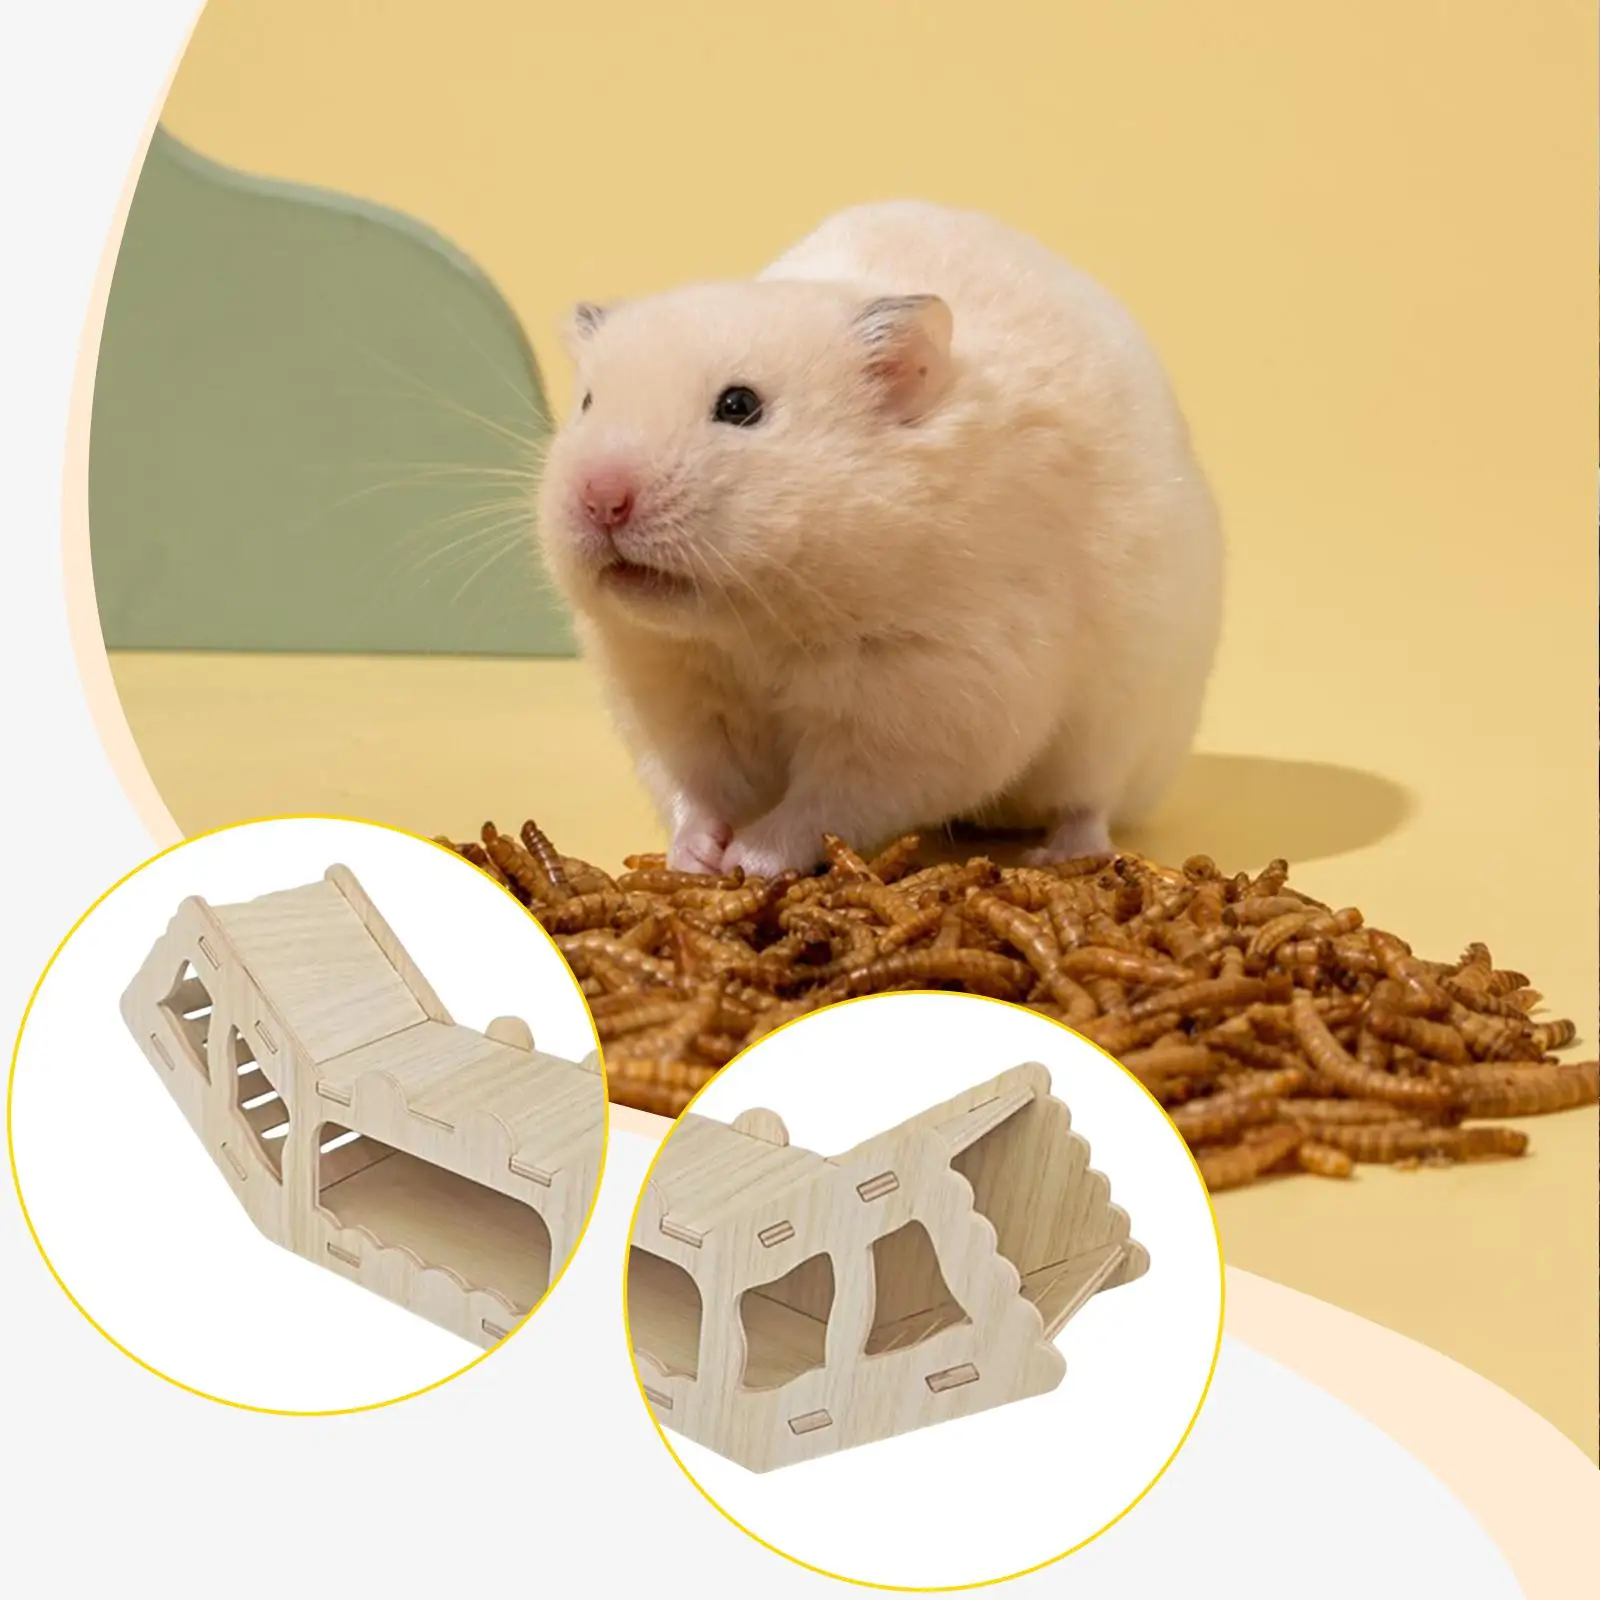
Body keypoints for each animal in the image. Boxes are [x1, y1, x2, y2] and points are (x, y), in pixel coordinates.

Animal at [535, 199, 1223, 877]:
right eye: (588, 404)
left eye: (739, 405)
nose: (601, 500)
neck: (754, 627)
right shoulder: (672, 693)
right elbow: (695, 787)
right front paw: (696, 861)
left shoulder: (926, 706)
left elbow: (825, 804)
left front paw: (749, 860)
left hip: (1120, 726)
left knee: (1089, 803)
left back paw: (1059, 853)